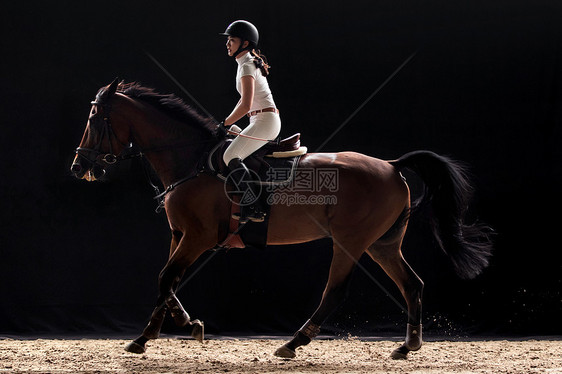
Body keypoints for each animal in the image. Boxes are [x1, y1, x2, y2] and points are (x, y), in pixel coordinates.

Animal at [70, 78, 490, 360]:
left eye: (94, 118)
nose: (78, 167)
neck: (191, 160)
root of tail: (391, 165)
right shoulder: (180, 235)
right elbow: (167, 283)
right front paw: (180, 328)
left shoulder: (197, 238)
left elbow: (165, 278)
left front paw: (150, 336)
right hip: (382, 244)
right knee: (412, 283)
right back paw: (407, 345)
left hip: (351, 242)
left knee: (335, 291)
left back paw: (294, 342)